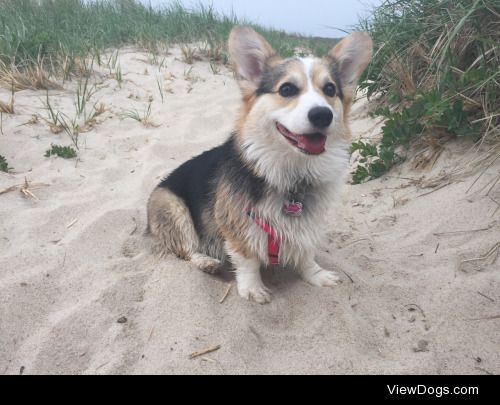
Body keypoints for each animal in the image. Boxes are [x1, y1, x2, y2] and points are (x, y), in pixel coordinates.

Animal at [146, 25, 372, 302]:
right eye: (286, 89)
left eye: (330, 89)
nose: (322, 115)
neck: (293, 173)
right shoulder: (235, 224)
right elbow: (247, 259)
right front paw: (253, 289)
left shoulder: (310, 222)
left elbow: (307, 252)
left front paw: (317, 275)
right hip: (172, 207)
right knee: (186, 248)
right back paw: (207, 262)